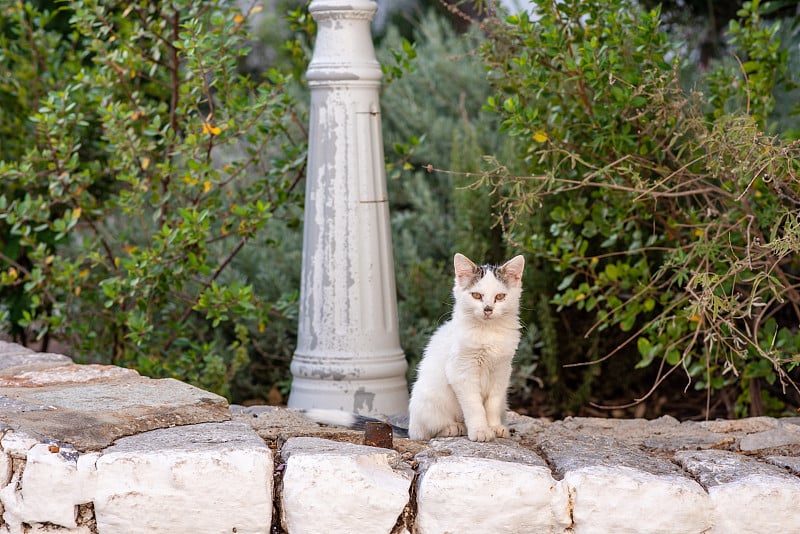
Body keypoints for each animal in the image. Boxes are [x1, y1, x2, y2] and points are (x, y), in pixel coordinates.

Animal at [406, 253, 524, 442]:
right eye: (476, 295)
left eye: (499, 297)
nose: (488, 309)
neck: (487, 332)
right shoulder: (462, 371)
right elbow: (474, 406)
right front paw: (480, 430)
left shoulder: (501, 371)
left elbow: (492, 403)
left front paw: (494, 426)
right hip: (428, 401)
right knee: (426, 431)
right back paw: (453, 427)